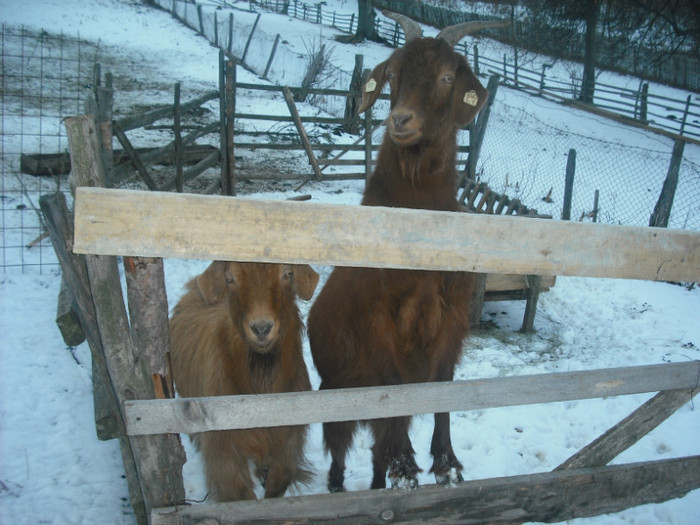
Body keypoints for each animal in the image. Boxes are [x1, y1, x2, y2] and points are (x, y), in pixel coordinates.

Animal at [170, 260, 320, 500]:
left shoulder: (288, 442)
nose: (262, 328)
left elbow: (278, 484)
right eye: (230, 278)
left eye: (288, 273)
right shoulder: (224, 452)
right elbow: (241, 497)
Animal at [308, 11, 506, 492]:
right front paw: (405, 463)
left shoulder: (452, 314)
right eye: (393, 74)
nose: (401, 120)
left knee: (374, 445)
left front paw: (446, 462)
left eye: (448, 76)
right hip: (335, 391)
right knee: (340, 444)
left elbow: (441, 386)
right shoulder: (377, 315)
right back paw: (342, 484)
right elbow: (393, 384)